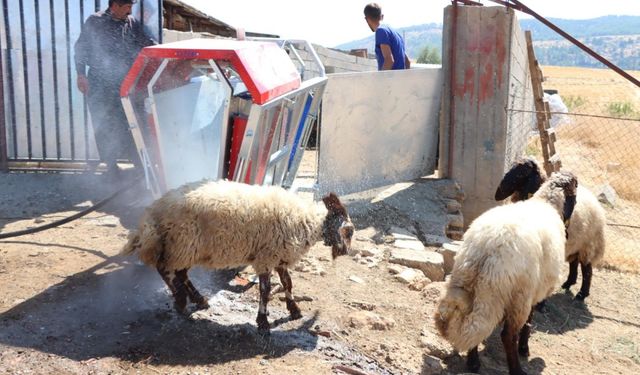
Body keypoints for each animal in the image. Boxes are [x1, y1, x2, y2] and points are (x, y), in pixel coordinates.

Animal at [120, 180, 356, 332]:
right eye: (350, 231)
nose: (346, 252)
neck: (307, 221)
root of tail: (153, 212)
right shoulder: (266, 257)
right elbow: (265, 290)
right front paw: (263, 322)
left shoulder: (279, 256)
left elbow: (288, 283)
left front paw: (294, 310)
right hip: (182, 244)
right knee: (165, 270)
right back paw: (180, 300)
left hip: (185, 248)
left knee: (180, 274)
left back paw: (198, 299)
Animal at [436, 172, 580, 374]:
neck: (546, 203)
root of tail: (486, 247)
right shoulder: (533, 292)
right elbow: (529, 322)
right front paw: (524, 349)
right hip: (517, 295)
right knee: (508, 335)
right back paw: (516, 369)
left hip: (468, 282)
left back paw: (473, 362)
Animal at [496, 157, 604, 302]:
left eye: (522, 172)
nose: (499, 192)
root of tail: (596, 203)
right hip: (576, 244)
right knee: (574, 263)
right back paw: (568, 283)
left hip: (588, 246)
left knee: (587, 270)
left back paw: (582, 294)